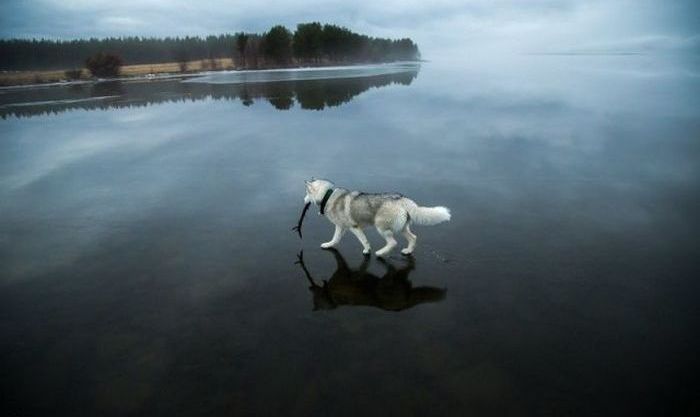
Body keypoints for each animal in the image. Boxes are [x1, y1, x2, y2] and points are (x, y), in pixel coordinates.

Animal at [304, 179, 452, 256]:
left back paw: (380, 253)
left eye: (306, 193)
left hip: (381, 227)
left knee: (393, 243)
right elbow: (335, 238)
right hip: (402, 228)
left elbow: (363, 240)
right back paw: (408, 251)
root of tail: (402, 199)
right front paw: (329, 245)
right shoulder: (341, 227)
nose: (303, 200)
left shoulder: (354, 227)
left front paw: (367, 250)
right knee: (413, 237)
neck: (327, 196)